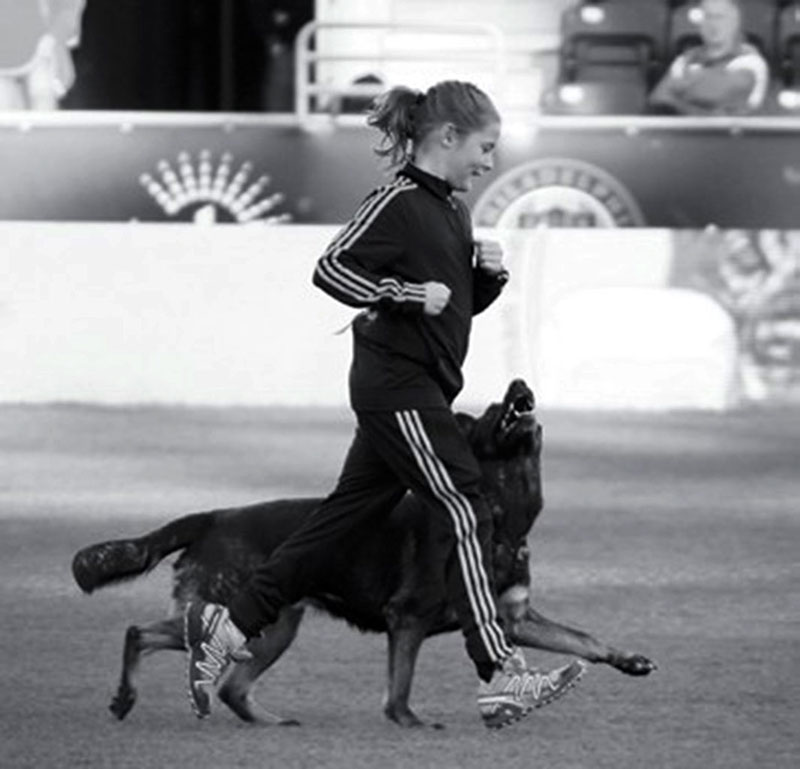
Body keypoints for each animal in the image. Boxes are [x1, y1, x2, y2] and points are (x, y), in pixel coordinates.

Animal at [72, 380, 652, 728]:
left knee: (232, 688)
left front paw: (626, 659)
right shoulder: (409, 620)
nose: (520, 385)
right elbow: (399, 689)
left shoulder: (512, 620)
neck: (500, 519)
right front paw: (411, 725)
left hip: (273, 629)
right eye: (493, 412)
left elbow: (583, 639)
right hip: (235, 617)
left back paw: (270, 726)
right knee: (140, 634)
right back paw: (126, 697)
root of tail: (212, 516)